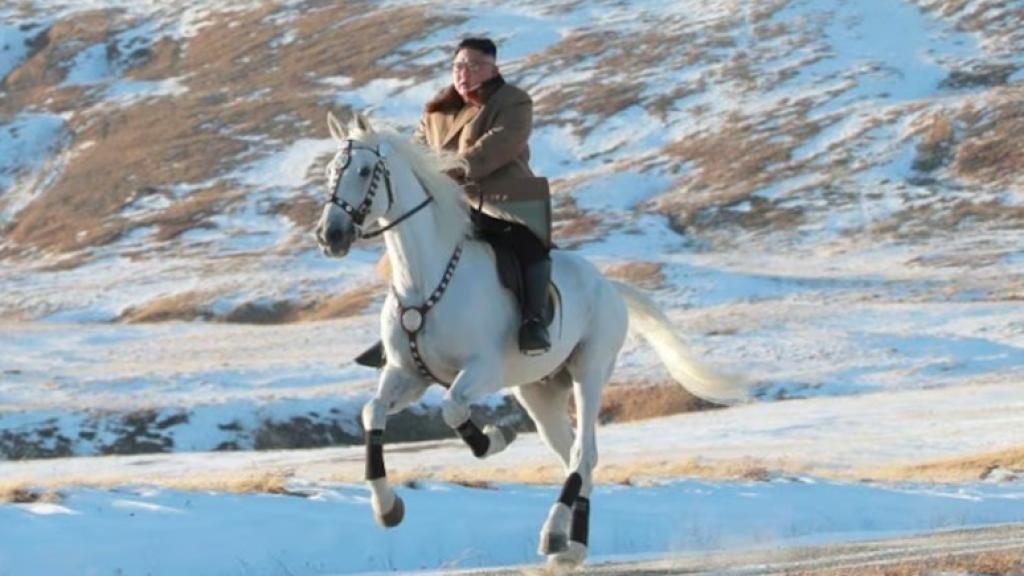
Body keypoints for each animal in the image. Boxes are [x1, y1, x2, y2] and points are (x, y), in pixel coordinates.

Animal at [314, 112, 749, 568]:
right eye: (329, 172)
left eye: (365, 171)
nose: (330, 235)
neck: (424, 281)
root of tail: (609, 286)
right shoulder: (407, 374)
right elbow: (372, 413)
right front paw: (387, 507)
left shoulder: (482, 370)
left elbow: (452, 408)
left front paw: (493, 439)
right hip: (538, 392)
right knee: (576, 457)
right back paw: (571, 547)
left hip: (589, 373)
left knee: (582, 453)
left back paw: (554, 535)